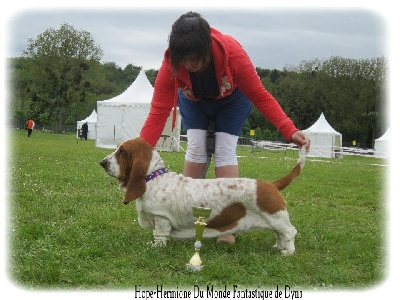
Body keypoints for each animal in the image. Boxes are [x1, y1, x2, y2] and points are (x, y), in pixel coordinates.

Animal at [101, 137, 308, 254]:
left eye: (122, 151)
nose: (102, 162)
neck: (153, 177)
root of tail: (271, 185)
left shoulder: (161, 219)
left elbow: (159, 235)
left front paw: (155, 247)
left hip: (276, 217)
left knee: (290, 232)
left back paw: (288, 252)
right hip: (274, 220)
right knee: (280, 234)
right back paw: (278, 247)